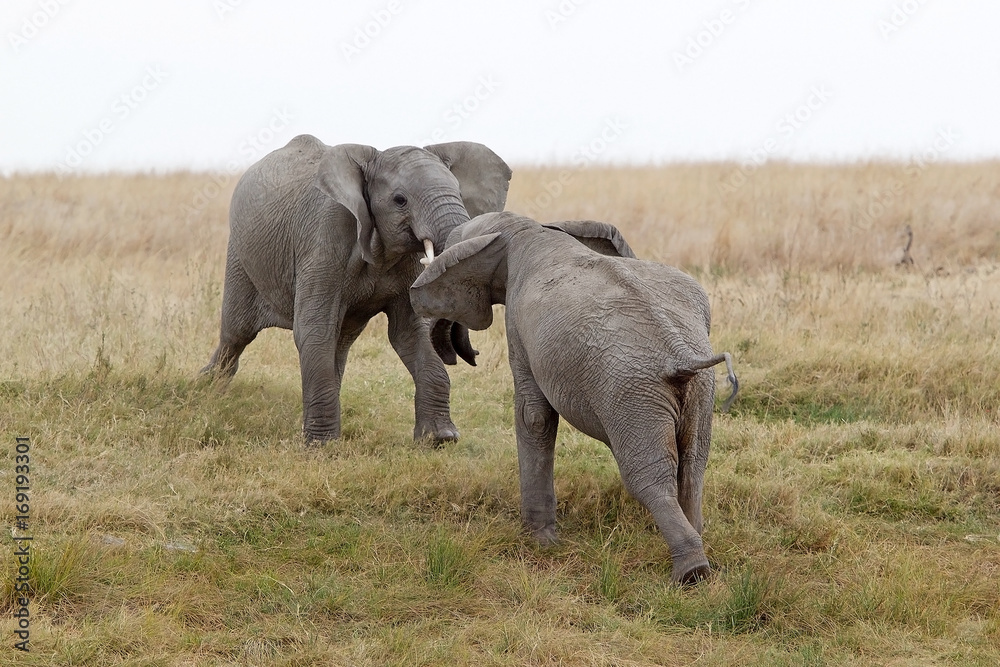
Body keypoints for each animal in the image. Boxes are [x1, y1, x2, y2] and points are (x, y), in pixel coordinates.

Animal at [201, 134, 512, 444]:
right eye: (400, 200)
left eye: (459, 193)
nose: (472, 356)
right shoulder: (325, 238)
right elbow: (315, 329)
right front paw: (322, 446)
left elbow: (410, 332)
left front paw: (440, 439)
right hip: (241, 259)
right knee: (237, 332)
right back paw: (207, 388)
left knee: (339, 341)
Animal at [409, 212, 738, 584]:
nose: (470, 354)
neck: (527, 227)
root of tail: (680, 355)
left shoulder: (518, 325)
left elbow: (533, 415)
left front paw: (540, 542)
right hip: (699, 390)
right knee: (694, 462)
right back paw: (698, 553)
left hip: (631, 393)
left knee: (648, 474)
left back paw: (691, 572)